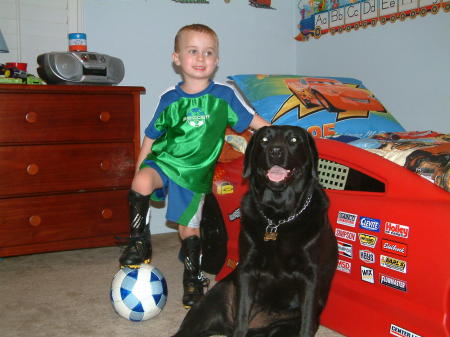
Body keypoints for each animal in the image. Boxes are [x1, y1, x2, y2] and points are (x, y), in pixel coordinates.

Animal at [173, 125, 338, 336]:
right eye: (264, 140)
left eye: (293, 140)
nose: (275, 152)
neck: (278, 218)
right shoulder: (248, 270)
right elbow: (242, 315)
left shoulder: (310, 276)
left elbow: (307, 322)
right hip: (211, 302)